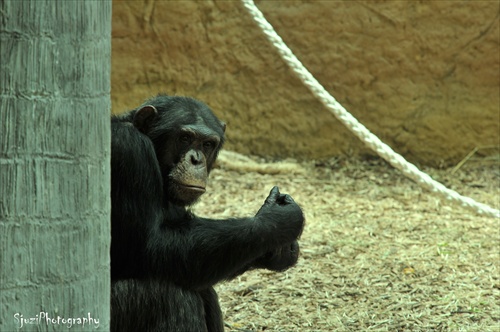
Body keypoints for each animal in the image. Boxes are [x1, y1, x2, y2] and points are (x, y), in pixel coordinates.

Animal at [110, 94, 304, 332]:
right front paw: (276, 222)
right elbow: (150, 246)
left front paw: (278, 251)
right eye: (184, 138)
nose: (196, 159)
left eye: (207, 144)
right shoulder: (128, 149)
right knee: (166, 295)